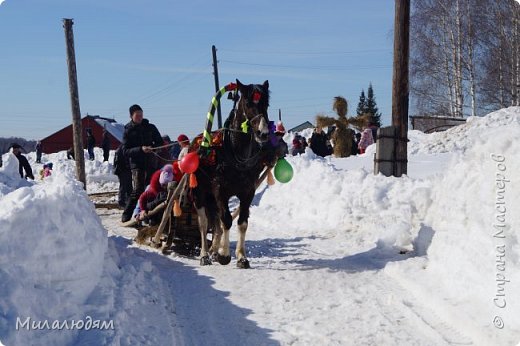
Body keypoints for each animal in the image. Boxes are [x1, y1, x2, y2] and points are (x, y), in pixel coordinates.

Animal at [192, 79, 272, 268]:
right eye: (248, 103)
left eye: (266, 103)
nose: (263, 133)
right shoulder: (220, 190)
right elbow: (226, 220)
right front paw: (224, 255)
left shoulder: (248, 191)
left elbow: (242, 222)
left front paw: (241, 257)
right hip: (199, 192)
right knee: (204, 222)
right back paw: (205, 254)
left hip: (211, 197)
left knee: (216, 222)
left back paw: (214, 250)